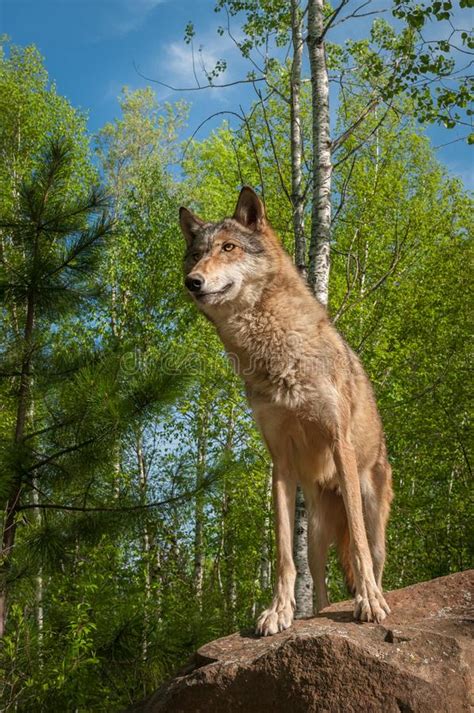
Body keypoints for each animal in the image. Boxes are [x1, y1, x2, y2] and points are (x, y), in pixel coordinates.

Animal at [179, 188, 392, 636]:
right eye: (197, 254)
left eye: (229, 248)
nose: (193, 282)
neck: (275, 354)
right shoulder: (279, 460)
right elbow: (282, 554)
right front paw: (279, 611)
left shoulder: (339, 443)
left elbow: (359, 549)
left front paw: (368, 602)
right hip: (316, 532)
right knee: (320, 580)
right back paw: (316, 616)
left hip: (370, 511)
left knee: (372, 554)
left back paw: (373, 596)